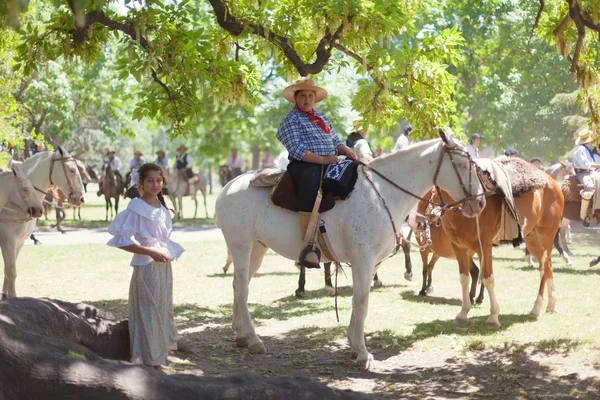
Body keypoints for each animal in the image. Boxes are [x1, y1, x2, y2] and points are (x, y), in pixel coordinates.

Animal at [0, 148, 85, 298]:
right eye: (72, 170)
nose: (81, 198)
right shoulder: (8, 241)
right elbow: (11, 271)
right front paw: (12, 297)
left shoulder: (18, 242)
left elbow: (9, 269)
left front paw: (5, 294)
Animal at [216, 131, 488, 368]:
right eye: (463, 164)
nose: (481, 203)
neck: (382, 194)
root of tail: (228, 187)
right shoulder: (363, 261)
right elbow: (362, 302)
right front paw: (363, 352)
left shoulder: (369, 264)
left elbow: (359, 302)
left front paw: (354, 346)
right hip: (241, 246)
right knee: (242, 288)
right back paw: (253, 339)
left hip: (257, 249)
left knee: (239, 286)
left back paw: (240, 335)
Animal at [432, 159, 564, 328]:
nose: (433, 213)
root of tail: (553, 183)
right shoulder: (459, 248)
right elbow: (464, 279)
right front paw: (463, 313)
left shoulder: (485, 247)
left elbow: (488, 279)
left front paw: (493, 317)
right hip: (532, 239)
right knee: (548, 267)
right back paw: (551, 305)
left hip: (546, 236)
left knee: (544, 269)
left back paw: (536, 307)